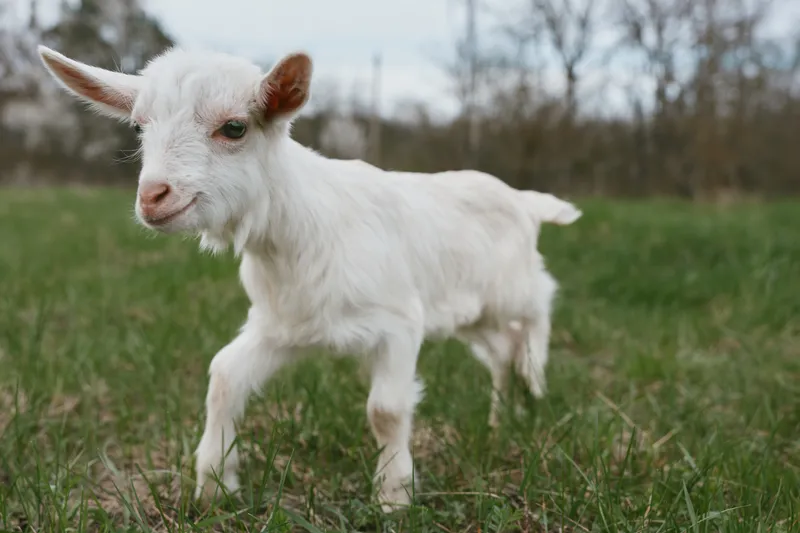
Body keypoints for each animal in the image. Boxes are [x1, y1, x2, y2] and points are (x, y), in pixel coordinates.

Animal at [37, 44, 581, 512]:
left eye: (234, 127)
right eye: (138, 126)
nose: (154, 197)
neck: (297, 228)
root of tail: (523, 200)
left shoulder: (401, 321)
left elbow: (386, 409)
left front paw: (394, 497)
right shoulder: (281, 326)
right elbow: (224, 376)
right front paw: (215, 484)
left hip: (511, 286)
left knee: (541, 304)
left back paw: (536, 381)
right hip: (470, 315)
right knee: (501, 351)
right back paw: (503, 416)